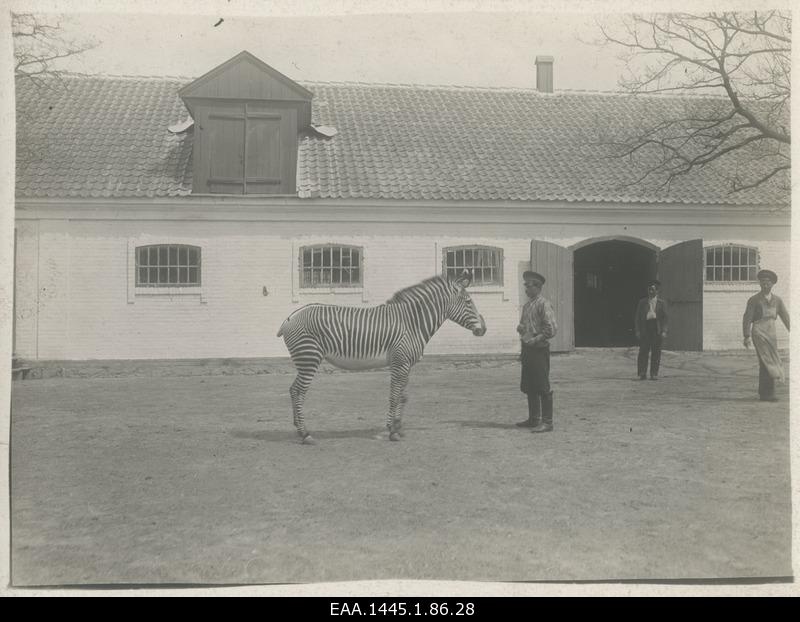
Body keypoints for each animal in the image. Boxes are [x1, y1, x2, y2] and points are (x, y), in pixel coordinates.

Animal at [276, 271, 487, 444]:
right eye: (468, 302)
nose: (483, 330)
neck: (413, 323)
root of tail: (290, 317)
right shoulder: (400, 362)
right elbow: (394, 396)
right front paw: (391, 431)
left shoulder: (405, 364)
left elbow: (403, 396)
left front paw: (398, 426)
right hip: (309, 358)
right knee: (299, 391)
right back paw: (305, 434)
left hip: (305, 360)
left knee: (293, 390)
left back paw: (298, 429)